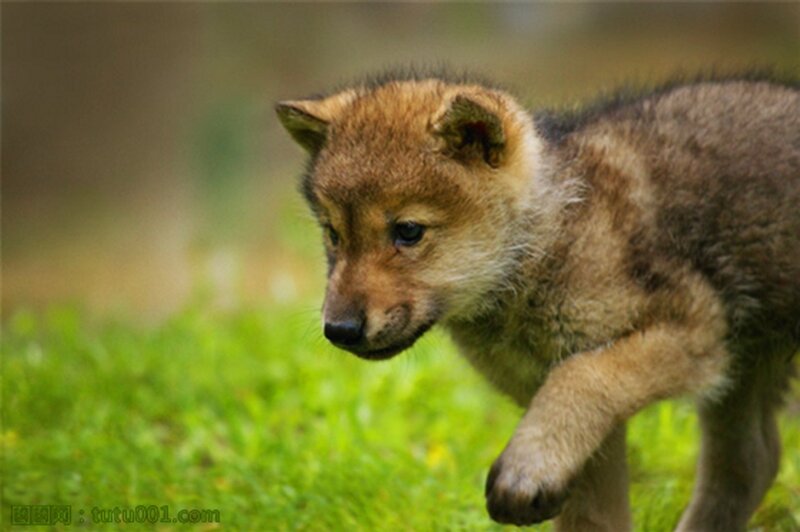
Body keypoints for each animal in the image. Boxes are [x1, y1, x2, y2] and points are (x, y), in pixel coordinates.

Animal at [276, 69, 800, 530]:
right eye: (333, 235)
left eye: (408, 231)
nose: (339, 330)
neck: (549, 240)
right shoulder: (581, 415)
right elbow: (593, 515)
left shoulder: (695, 331)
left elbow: (582, 377)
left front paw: (526, 467)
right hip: (746, 375)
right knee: (751, 460)